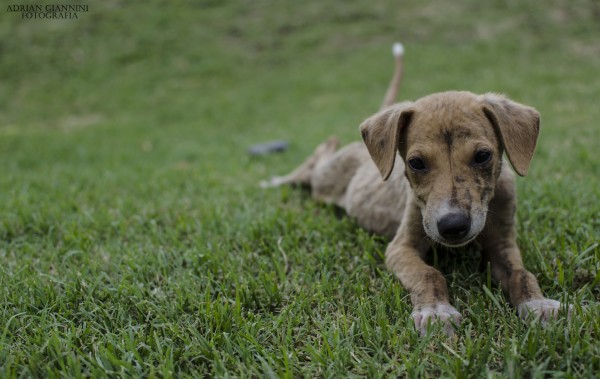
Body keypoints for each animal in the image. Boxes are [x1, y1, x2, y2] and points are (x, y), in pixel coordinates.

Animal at [264, 45, 572, 336]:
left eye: (483, 156)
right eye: (416, 163)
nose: (453, 225)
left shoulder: (503, 245)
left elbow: (522, 273)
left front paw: (538, 304)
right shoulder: (401, 247)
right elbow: (429, 274)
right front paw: (435, 311)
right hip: (324, 178)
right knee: (316, 159)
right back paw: (276, 178)